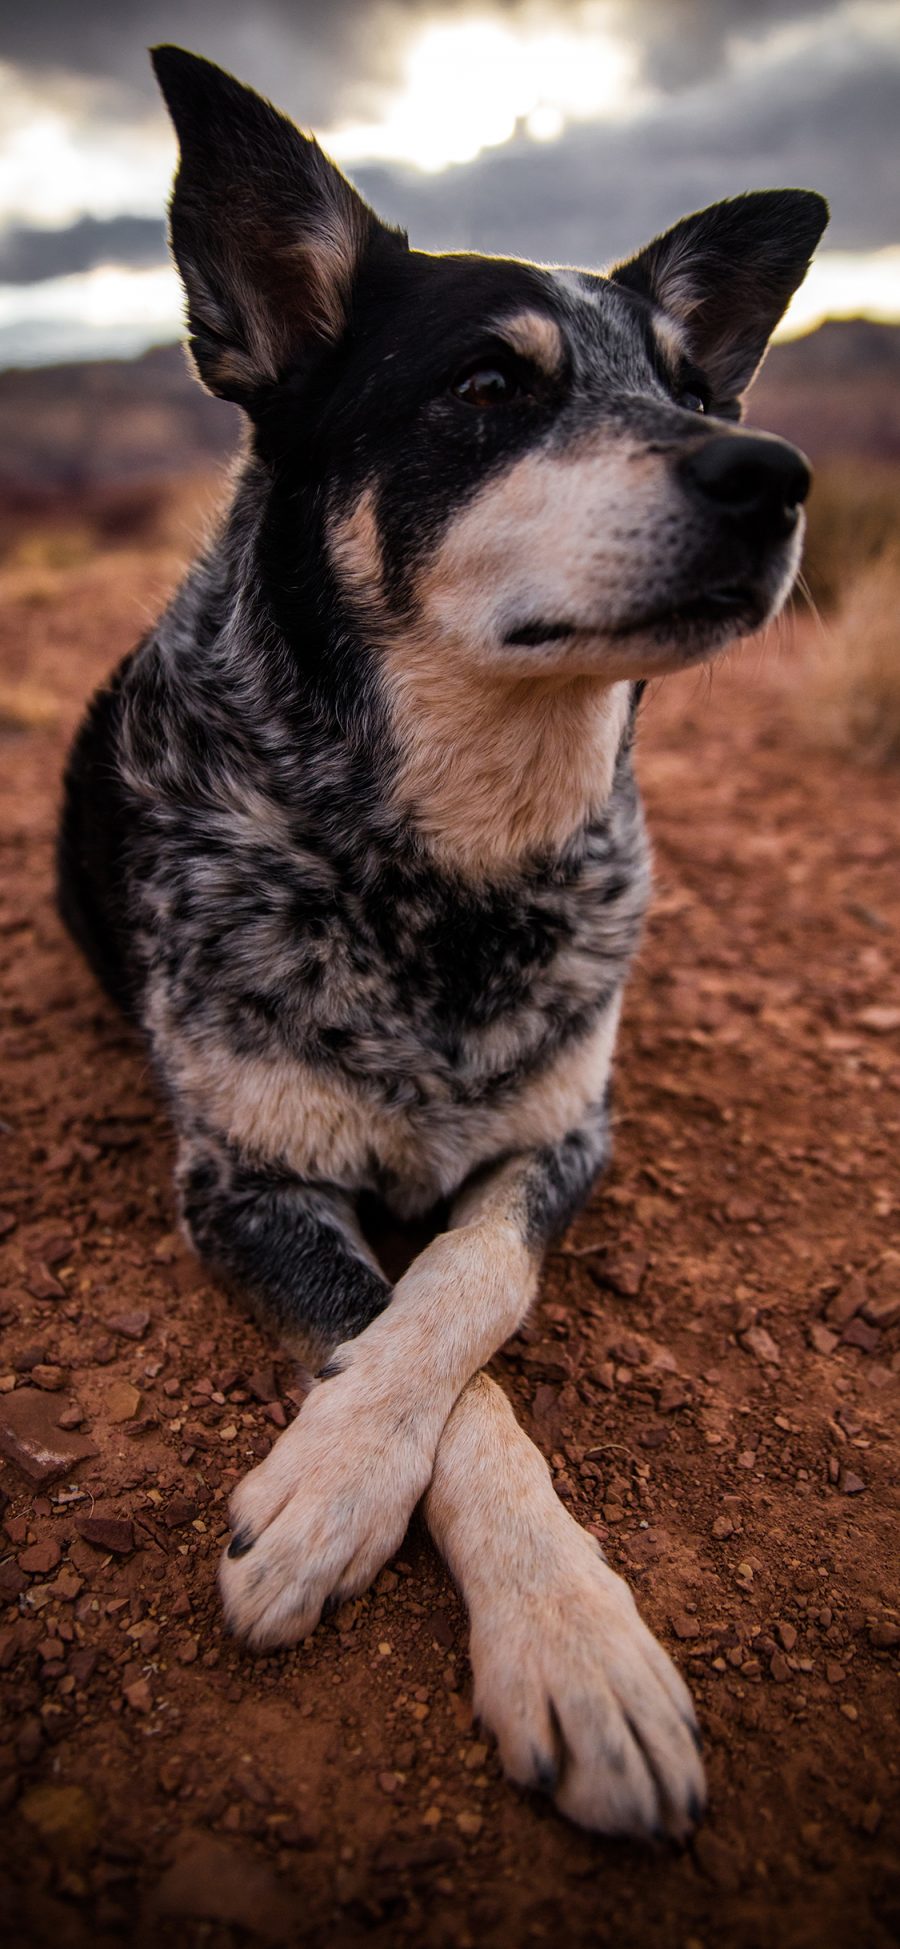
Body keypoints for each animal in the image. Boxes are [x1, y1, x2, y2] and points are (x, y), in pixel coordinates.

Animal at [56, 45, 825, 1839]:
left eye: (702, 393)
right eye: (488, 386)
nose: (771, 475)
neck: (446, 870)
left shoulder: (568, 1134)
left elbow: (466, 1289)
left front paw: (570, 1633)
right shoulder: (245, 1177)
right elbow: (409, 1355)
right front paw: (347, 1505)